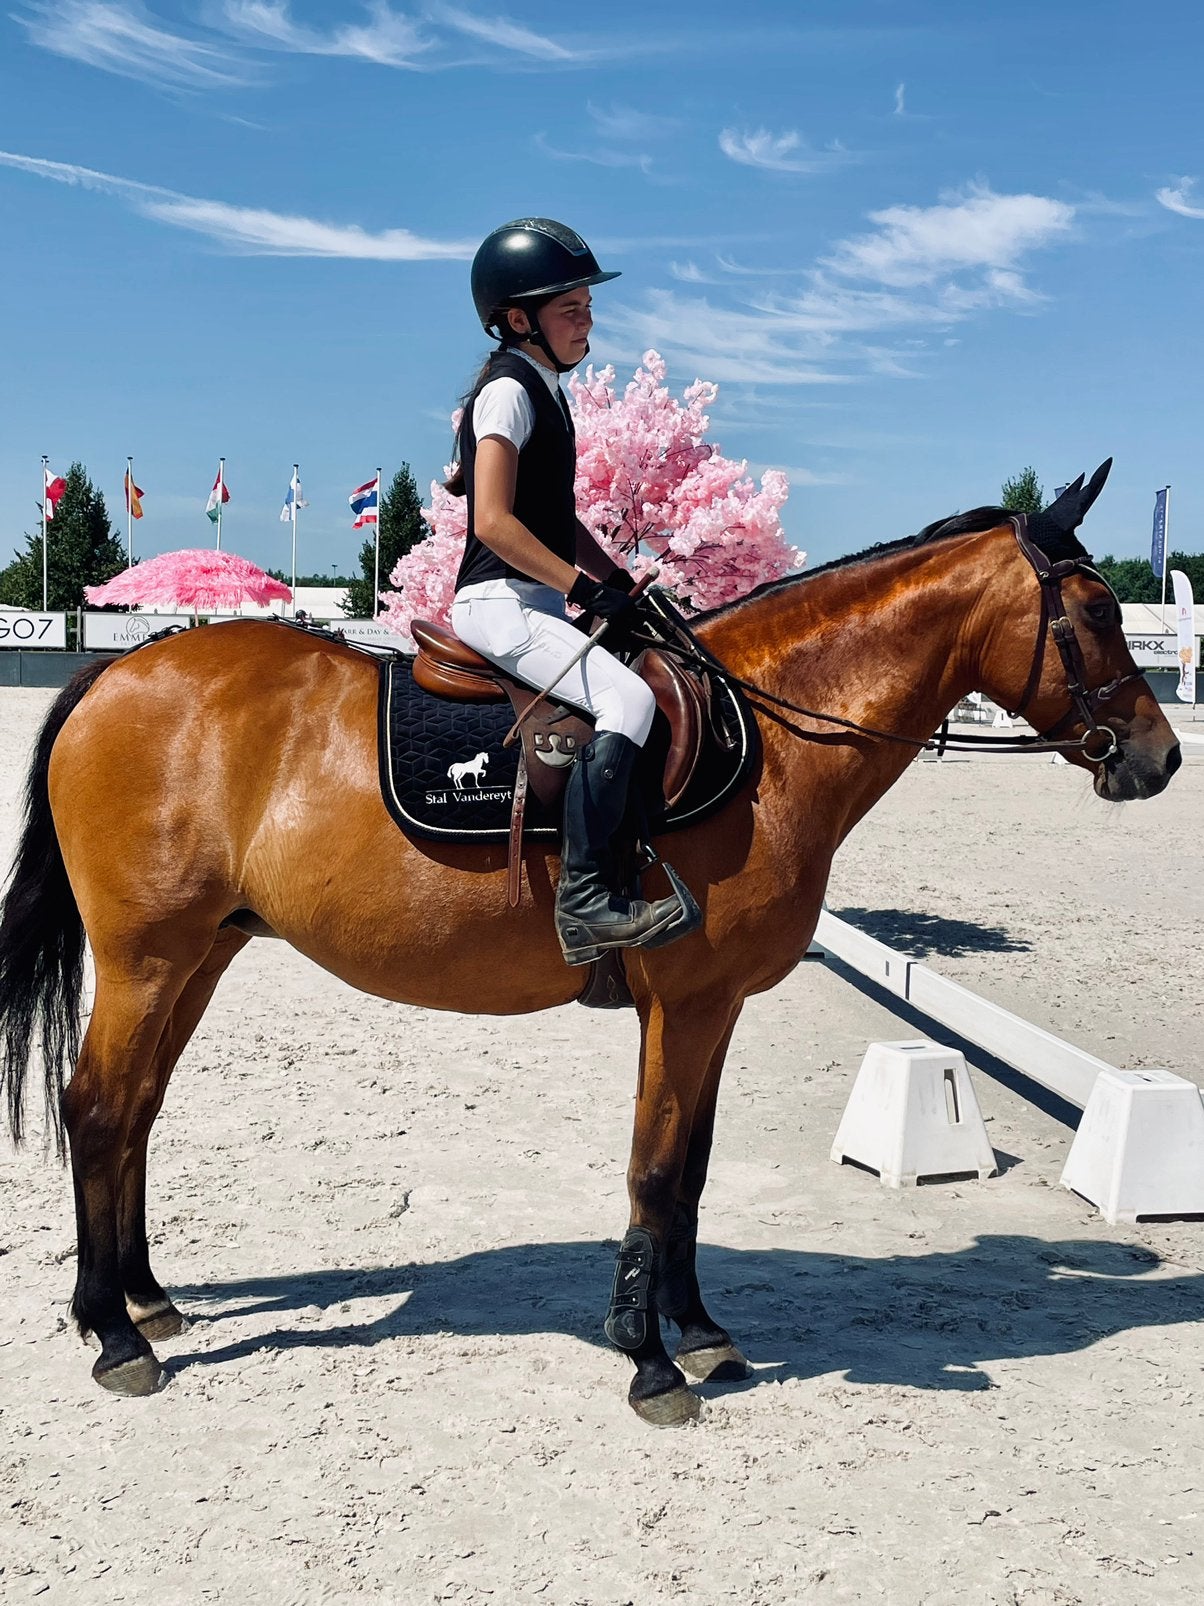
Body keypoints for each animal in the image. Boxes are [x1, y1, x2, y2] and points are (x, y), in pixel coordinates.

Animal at [0, 471, 1181, 1425]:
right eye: (1096, 610)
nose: (1161, 758)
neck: (766, 738)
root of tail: (122, 671)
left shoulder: (714, 1008)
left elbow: (692, 1170)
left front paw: (699, 1332)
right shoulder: (687, 1002)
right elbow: (654, 1169)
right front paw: (648, 1360)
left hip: (199, 957)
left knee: (136, 1108)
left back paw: (149, 1300)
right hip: (150, 959)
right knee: (97, 1105)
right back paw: (113, 1333)